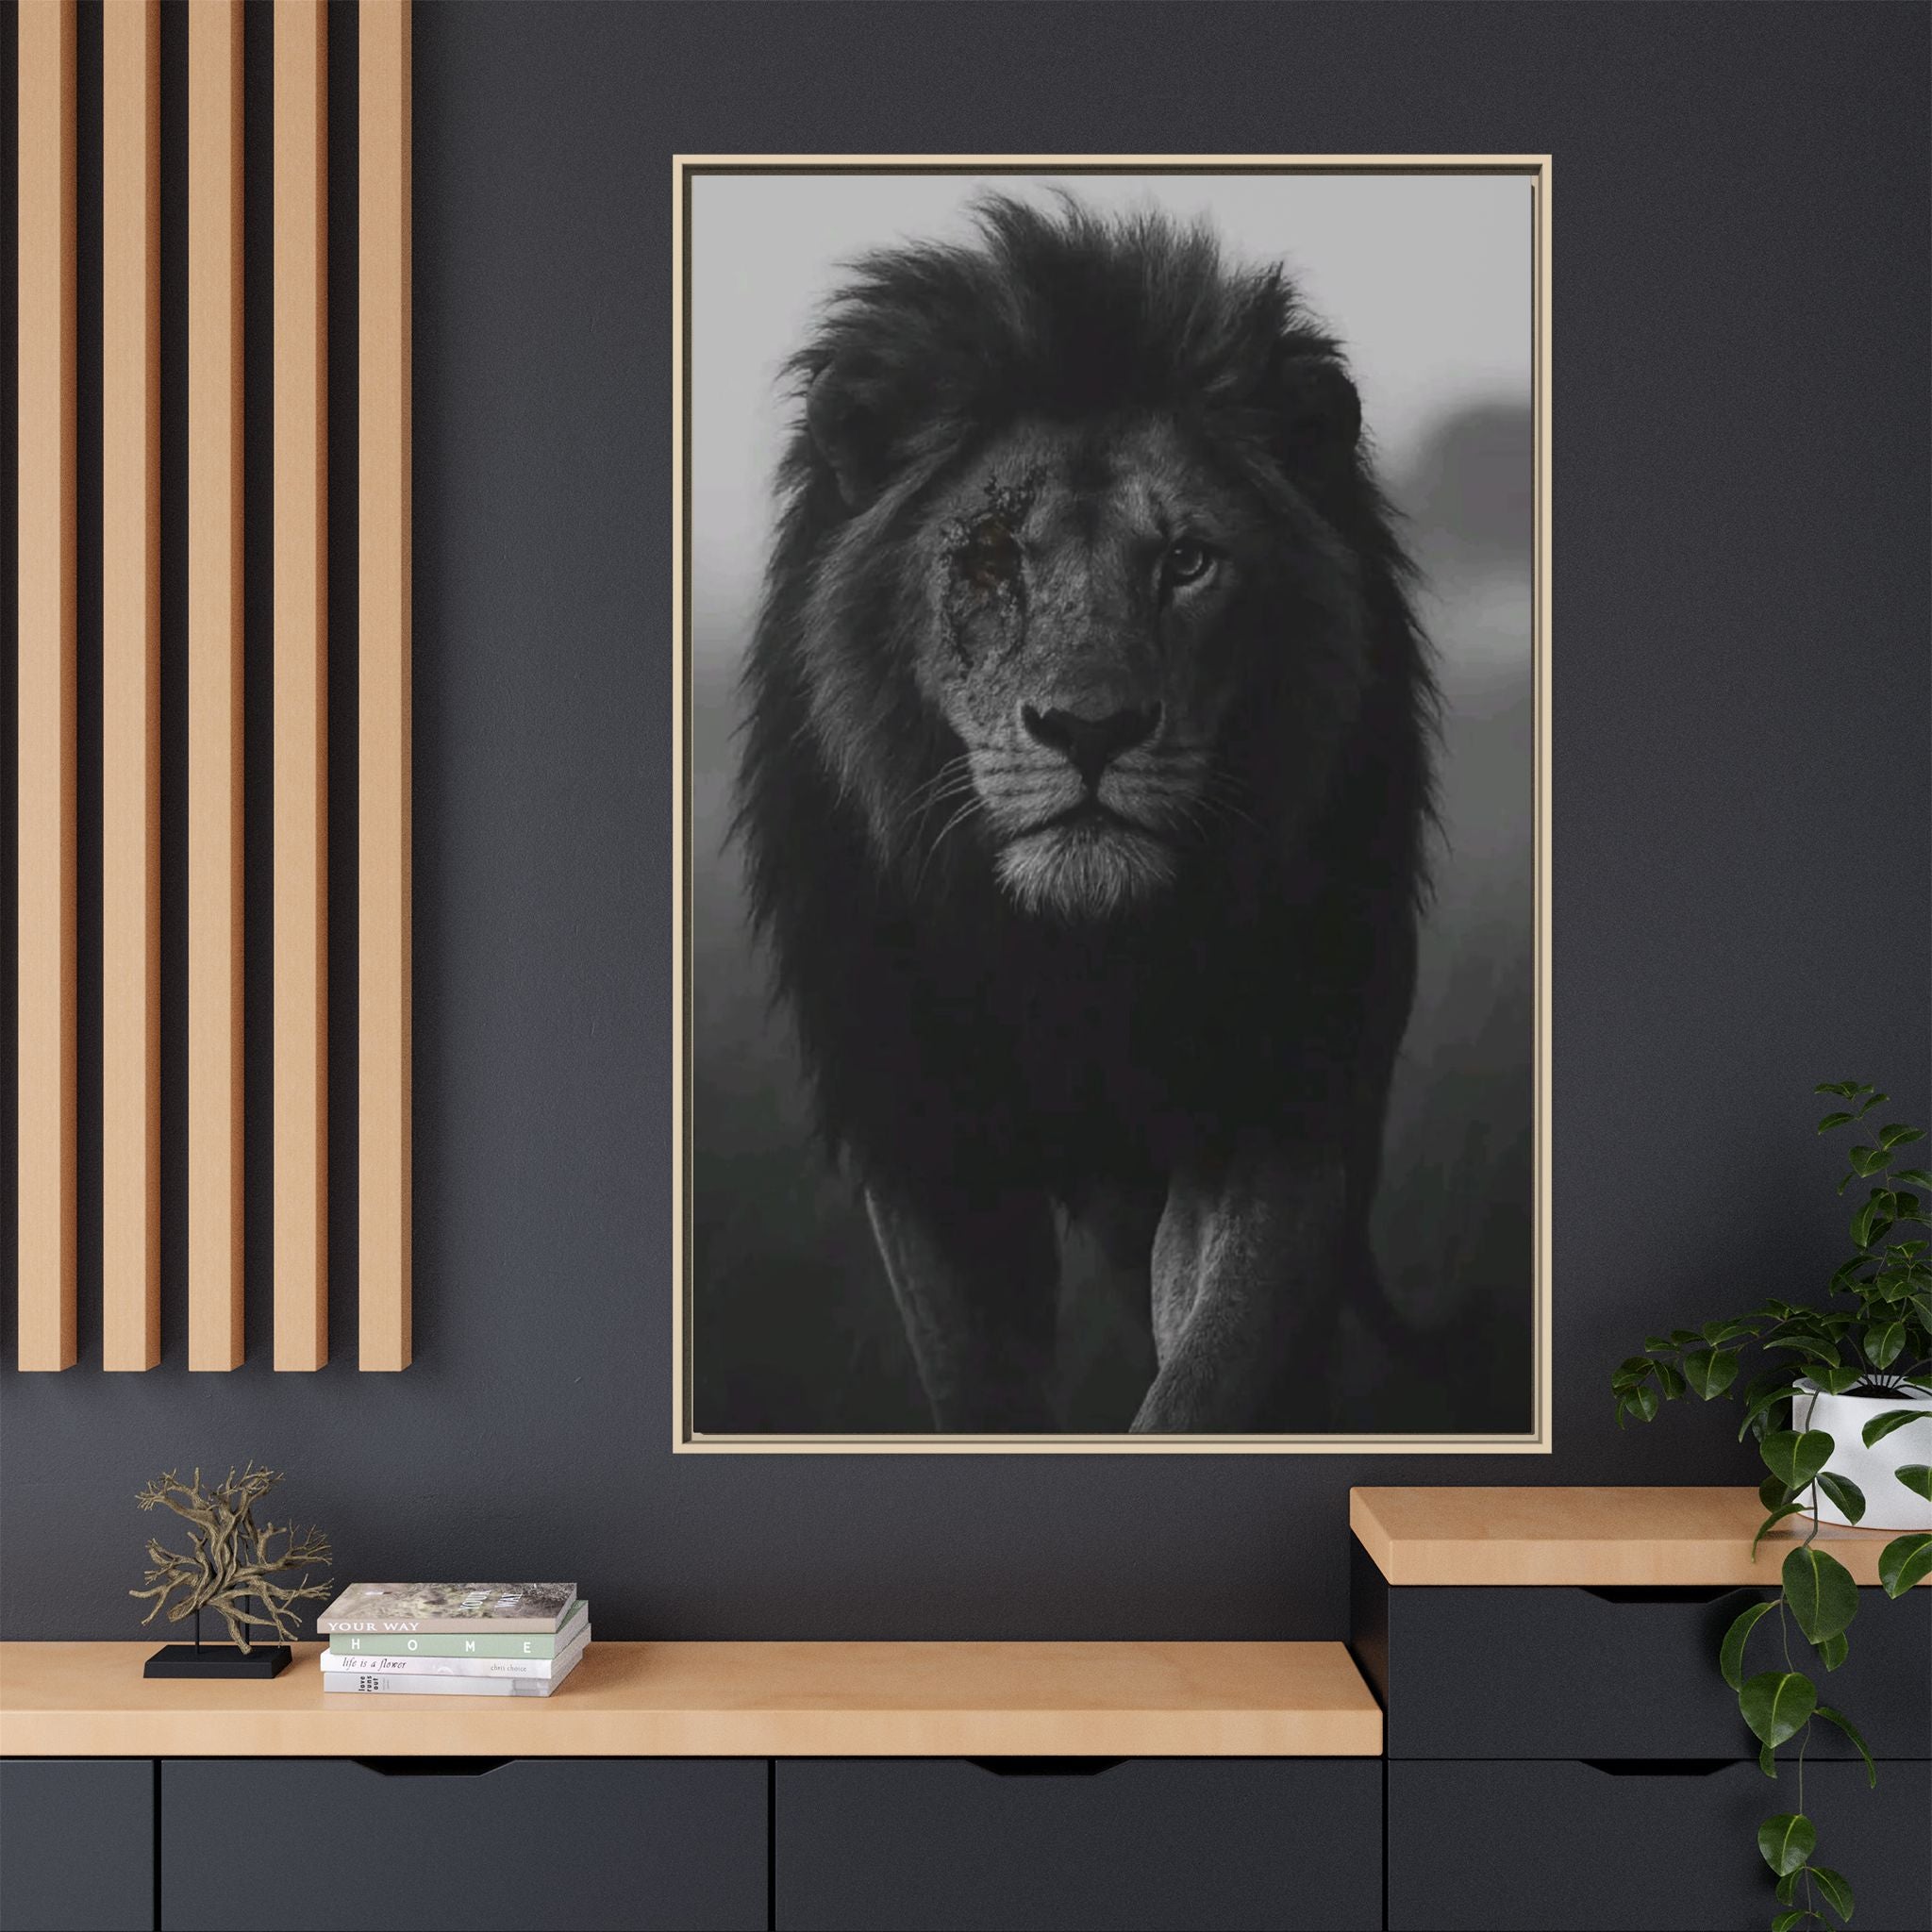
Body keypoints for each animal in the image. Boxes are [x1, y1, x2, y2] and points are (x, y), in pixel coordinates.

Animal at [733, 195, 1435, 1433]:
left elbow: (1211, 1366)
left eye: (1187, 561)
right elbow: (977, 1386)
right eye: (989, 558)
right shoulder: (925, 1134)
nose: (1090, 728)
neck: (1076, 961)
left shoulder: (1271, 1103)